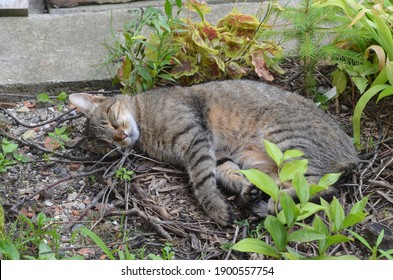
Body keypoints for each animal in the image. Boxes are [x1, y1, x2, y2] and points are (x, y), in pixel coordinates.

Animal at [69, 79, 356, 225]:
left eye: (109, 118)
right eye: (109, 146)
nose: (121, 136)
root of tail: (353, 152)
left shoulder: (195, 140)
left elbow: (202, 182)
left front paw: (215, 209)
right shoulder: (216, 154)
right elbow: (226, 174)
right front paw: (244, 189)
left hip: (284, 142)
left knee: (322, 186)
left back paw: (276, 204)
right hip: (259, 161)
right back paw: (258, 198)